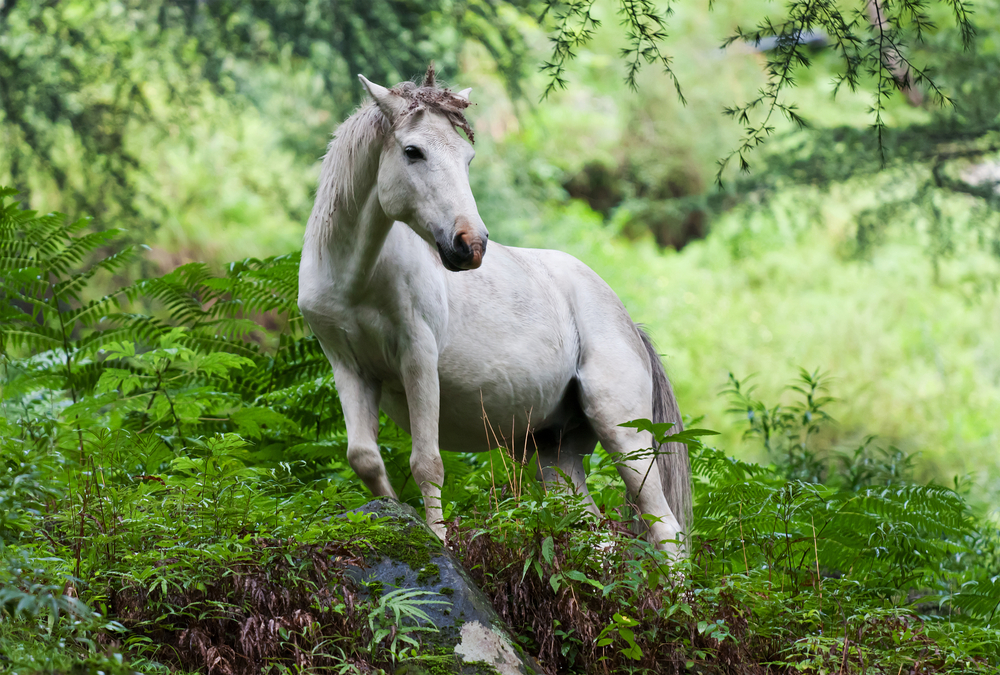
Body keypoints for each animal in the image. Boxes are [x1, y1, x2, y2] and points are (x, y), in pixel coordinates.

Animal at [294, 66, 688, 556]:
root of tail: (628, 323)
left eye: (467, 157)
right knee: (596, 535)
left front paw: (438, 541)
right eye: (412, 151)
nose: (471, 244)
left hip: (623, 432)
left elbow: (427, 463)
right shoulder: (348, 368)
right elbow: (364, 459)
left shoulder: (418, 358)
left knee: (666, 530)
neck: (354, 279)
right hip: (553, 451)